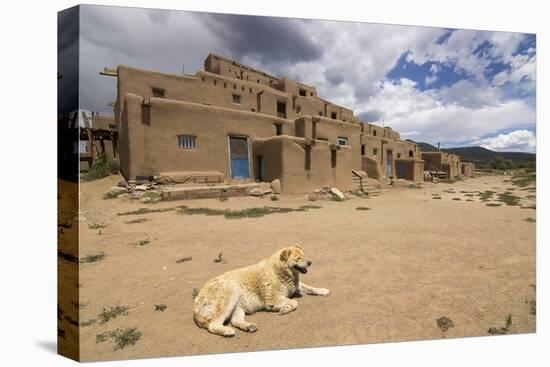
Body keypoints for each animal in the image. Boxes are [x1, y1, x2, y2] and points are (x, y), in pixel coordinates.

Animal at [195, 246, 332, 338]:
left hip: (238, 307)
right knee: (213, 325)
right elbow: (294, 303)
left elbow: (310, 288)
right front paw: (283, 309)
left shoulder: (295, 287)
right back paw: (227, 331)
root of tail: (196, 303)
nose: (310, 262)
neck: (280, 270)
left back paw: (249, 327)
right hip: (229, 295)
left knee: (235, 321)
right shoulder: (273, 298)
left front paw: (322, 290)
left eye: (304, 255)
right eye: (298, 258)